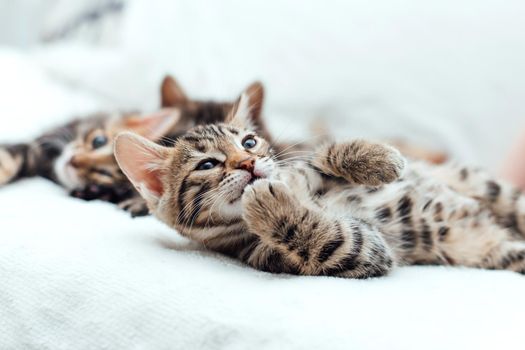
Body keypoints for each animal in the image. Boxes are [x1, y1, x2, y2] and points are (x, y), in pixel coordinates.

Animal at [115, 91, 525, 278]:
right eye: (207, 164)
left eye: (249, 142)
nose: (248, 163)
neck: (304, 194)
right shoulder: (360, 251)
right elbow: (331, 237)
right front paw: (270, 205)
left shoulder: (300, 165)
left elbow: (320, 155)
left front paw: (380, 159)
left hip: (491, 189)